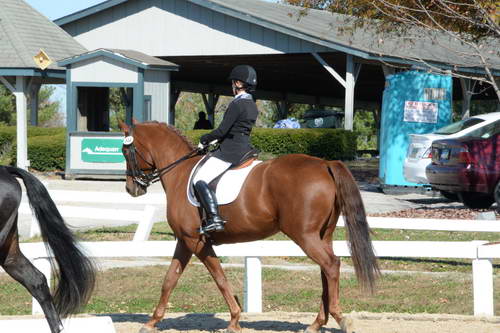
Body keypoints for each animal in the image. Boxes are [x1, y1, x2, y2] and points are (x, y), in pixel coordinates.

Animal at [120, 121, 378, 332]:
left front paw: (234, 320)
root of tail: (325, 164)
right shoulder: (185, 241)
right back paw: (317, 323)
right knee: (326, 269)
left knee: (331, 265)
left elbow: (219, 278)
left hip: (305, 235)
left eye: (124, 150)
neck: (180, 172)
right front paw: (152, 322)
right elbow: (169, 280)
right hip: (323, 235)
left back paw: (339, 319)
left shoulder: (196, 241)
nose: (132, 189)